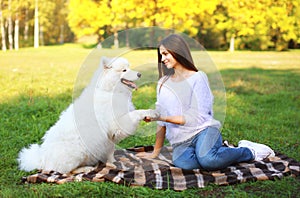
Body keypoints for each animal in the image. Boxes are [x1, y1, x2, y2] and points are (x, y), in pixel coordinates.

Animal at [17, 56, 159, 173]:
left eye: (129, 67)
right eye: (124, 70)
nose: (140, 74)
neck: (109, 90)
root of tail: (42, 158)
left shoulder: (110, 137)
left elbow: (110, 152)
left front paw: (113, 163)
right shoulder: (117, 124)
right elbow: (137, 112)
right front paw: (150, 112)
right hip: (78, 151)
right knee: (65, 172)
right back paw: (85, 169)